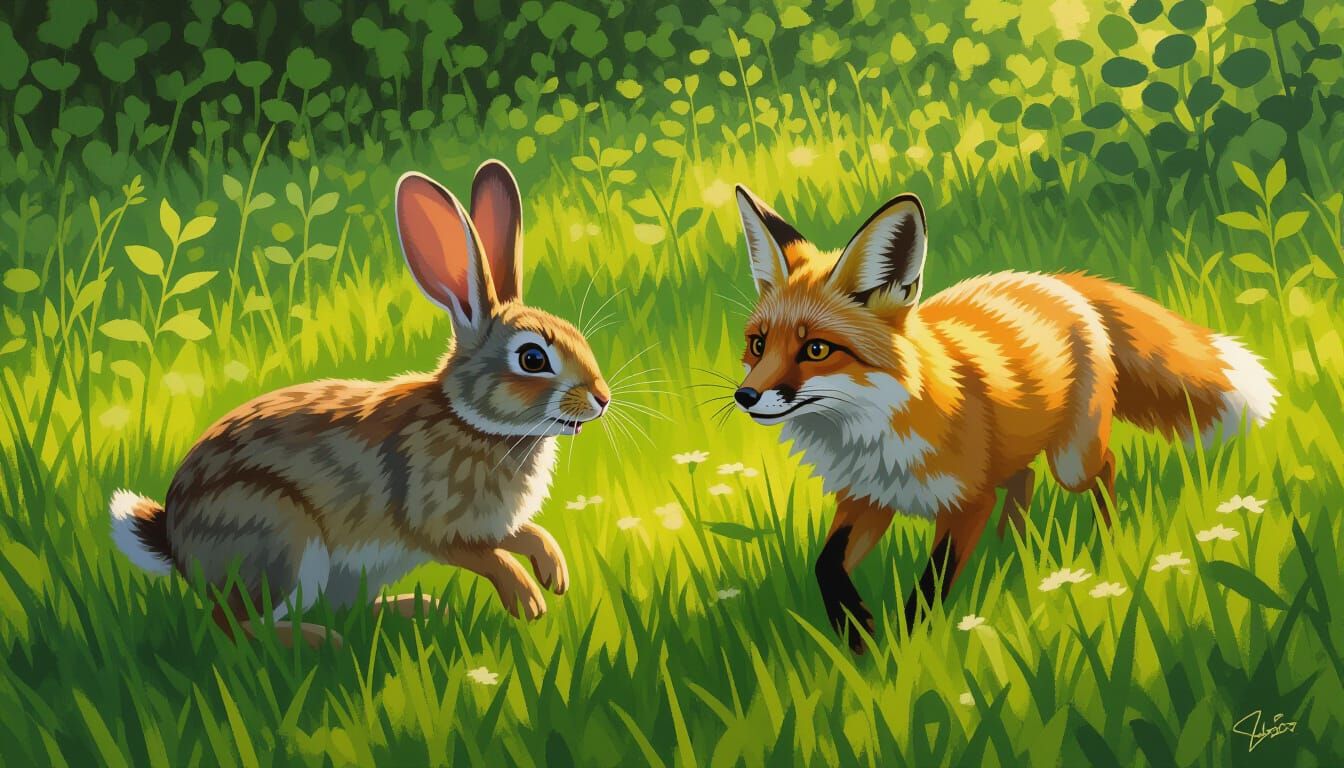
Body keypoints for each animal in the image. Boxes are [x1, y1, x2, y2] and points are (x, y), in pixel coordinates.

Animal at [109, 161, 611, 648]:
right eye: (532, 359)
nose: (602, 400)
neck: (472, 422)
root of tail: (174, 541)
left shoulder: (493, 523)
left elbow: (526, 533)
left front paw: (554, 571)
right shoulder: (436, 524)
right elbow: (484, 556)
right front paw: (528, 599)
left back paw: (419, 611)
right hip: (281, 542)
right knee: (236, 625)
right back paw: (322, 641)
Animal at [730, 185, 1277, 653]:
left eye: (816, 350)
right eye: (758, 344)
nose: (745, 396)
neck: (873, 431)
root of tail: (1055, 279)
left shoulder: (966, 504)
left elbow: (928, 589)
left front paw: (903, 657)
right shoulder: (868, 499)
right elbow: (826, 565)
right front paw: (855, 631)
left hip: (1072, 461)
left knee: (1102, 469)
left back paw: (1105, 542)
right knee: (1023, 480)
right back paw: (1011, 551)